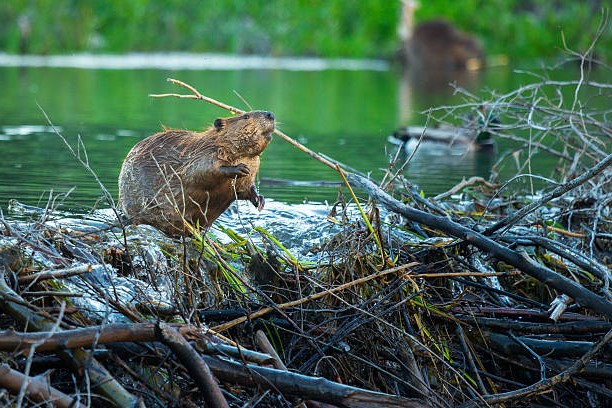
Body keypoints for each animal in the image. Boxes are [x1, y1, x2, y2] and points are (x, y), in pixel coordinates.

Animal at [117, 110, 274, 236]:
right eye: (246, 116)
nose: (270, 114)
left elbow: (245, 189)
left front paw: (260, 200)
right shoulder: (203, 153)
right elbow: (199, 172)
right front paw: (239, 168)